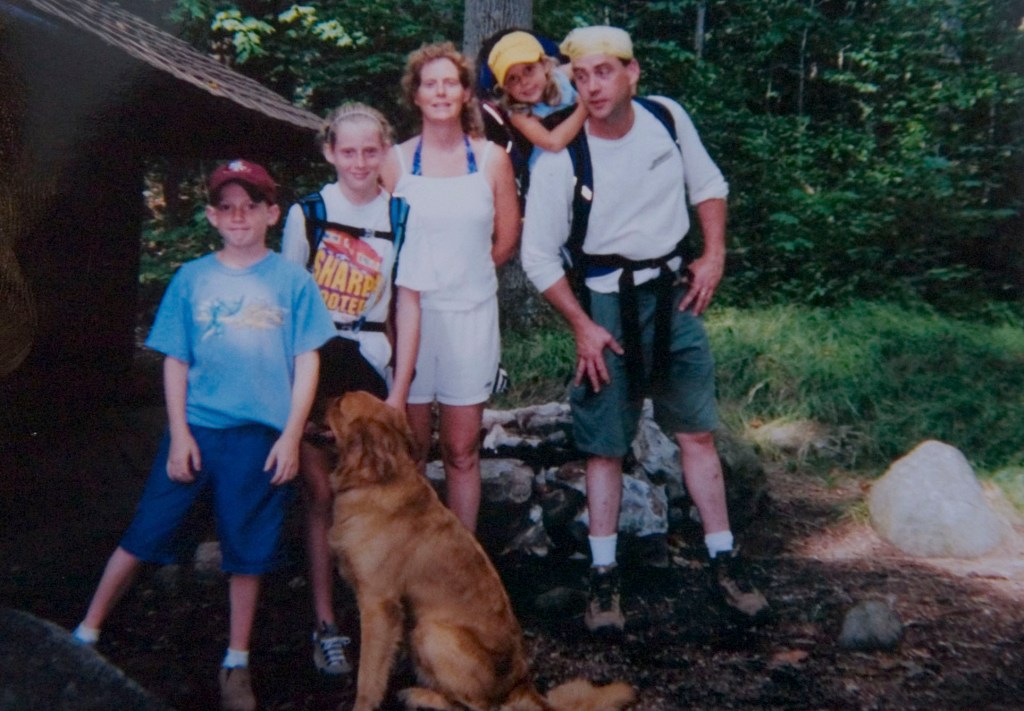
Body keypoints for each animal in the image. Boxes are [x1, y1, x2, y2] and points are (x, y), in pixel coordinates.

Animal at [327, 389, 634, 711]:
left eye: (339, 403)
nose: (326, 398)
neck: (377, 479)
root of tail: (520, 684)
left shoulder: (378, 604)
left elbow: (368, 675)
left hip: (431, 632)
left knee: (475, 705)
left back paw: (420, 695)